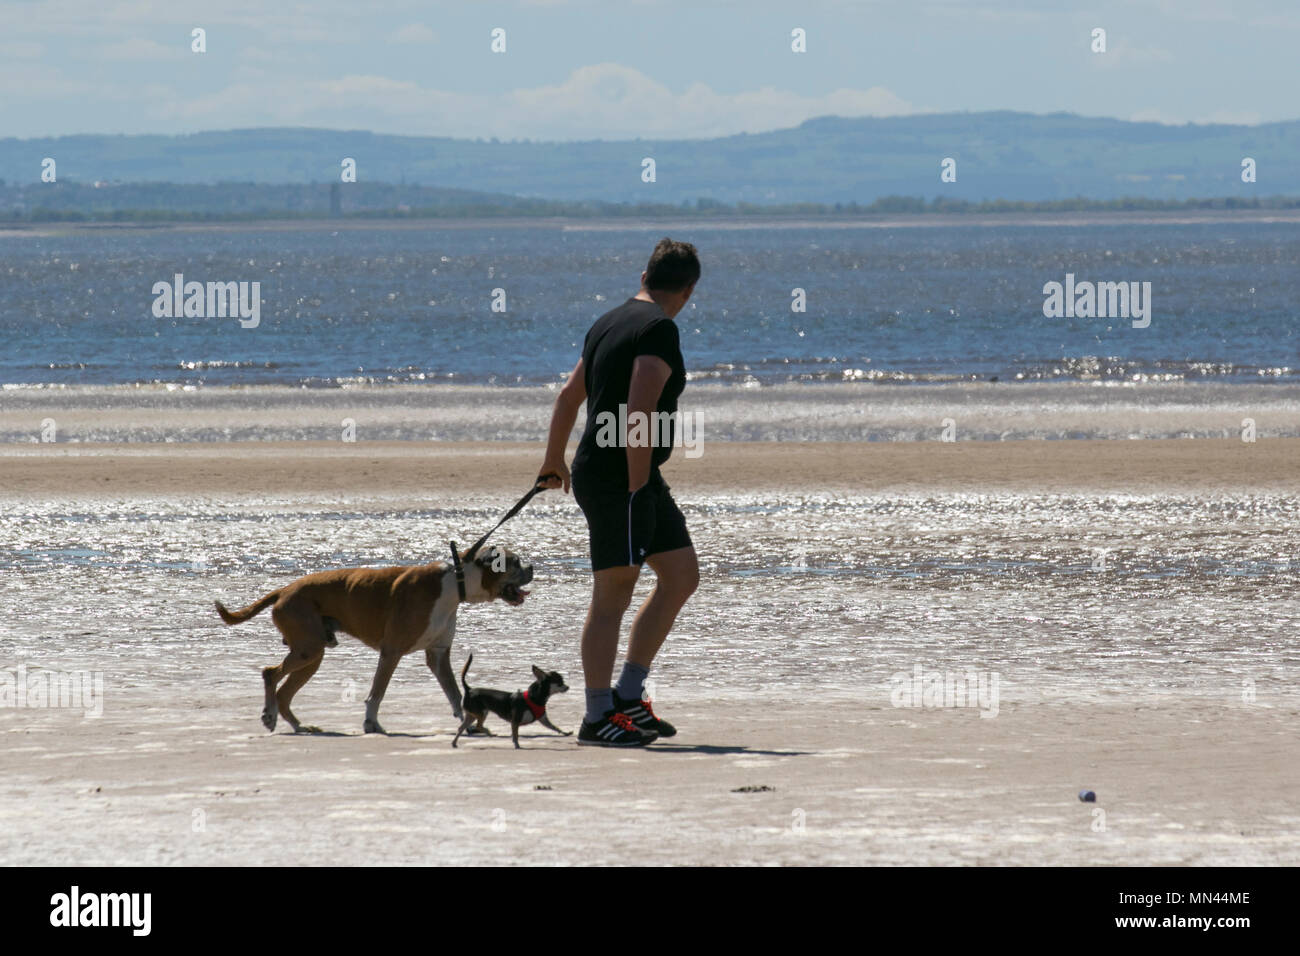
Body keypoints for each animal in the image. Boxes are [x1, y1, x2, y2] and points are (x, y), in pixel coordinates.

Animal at [215, 546, 530, 733]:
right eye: (514, 563)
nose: (532, 568)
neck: (455, 583)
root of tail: (284, 589)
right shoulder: (391, 652)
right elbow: (377, 692)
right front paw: (371, 723)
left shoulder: (439, 655)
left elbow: (453, 692)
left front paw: (469, 723)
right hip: (308, 649)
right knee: (270, 674)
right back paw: (270, 716)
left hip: (312, 654)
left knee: (283, 691)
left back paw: (297, 726)